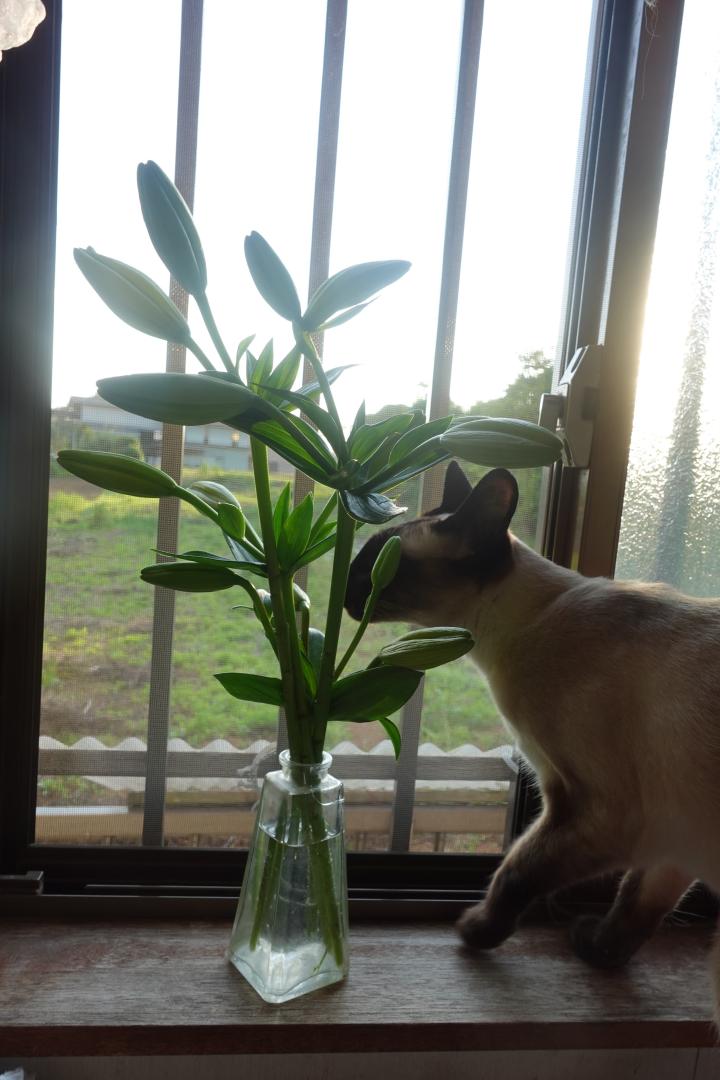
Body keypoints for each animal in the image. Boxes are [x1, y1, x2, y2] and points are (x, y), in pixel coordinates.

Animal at [345, 461, 720, 1001]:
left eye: (378, 564)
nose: (346, 593)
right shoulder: (672, 841)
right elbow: (633, 907)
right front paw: (596, 952)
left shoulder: (597, 810)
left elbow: (517, 872)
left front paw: (476, 931)